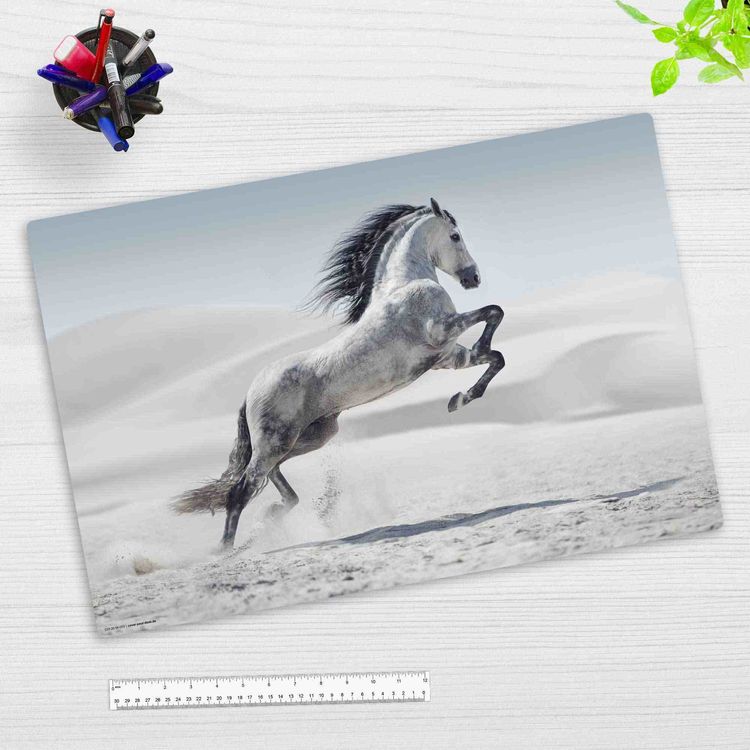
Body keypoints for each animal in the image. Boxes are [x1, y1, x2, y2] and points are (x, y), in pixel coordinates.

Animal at [172, 198, 505, 548]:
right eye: (455, 236)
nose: (474, 277)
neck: (403, 284)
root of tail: (250, 393)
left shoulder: (447, 356)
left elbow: (495, 357)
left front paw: (460, 398)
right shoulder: (442, 331)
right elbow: (494, 312)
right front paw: (473, 365)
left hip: (312, 436)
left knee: (271, 476)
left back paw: (276, 512)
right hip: (276, 442)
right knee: (241, 490)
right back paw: (227, 550)